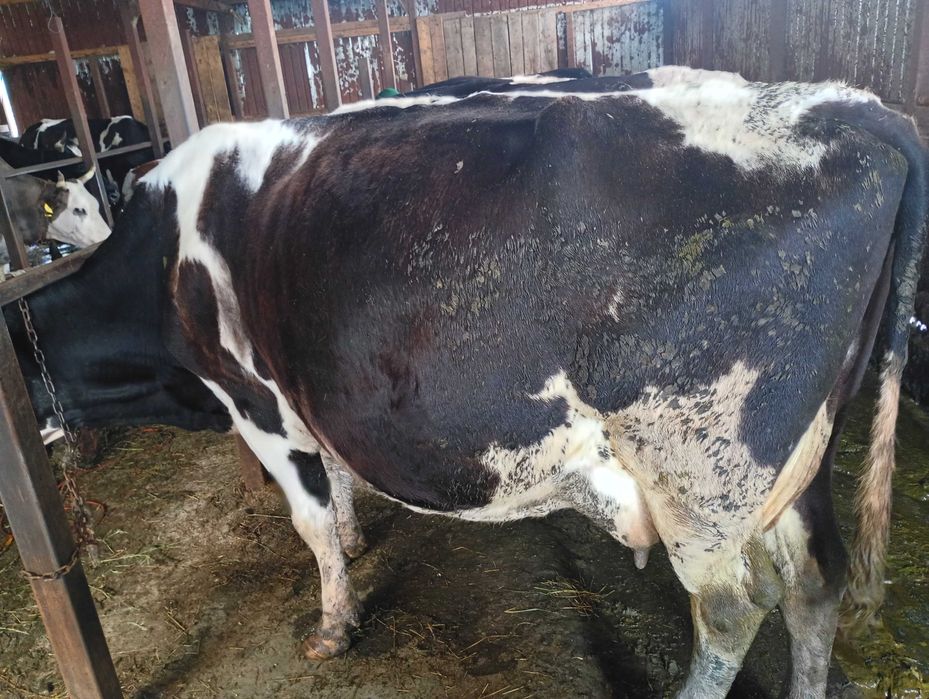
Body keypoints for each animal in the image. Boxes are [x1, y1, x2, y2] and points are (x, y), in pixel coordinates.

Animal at [3, 68, 927, 698]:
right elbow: (339, 485)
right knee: (815, 584)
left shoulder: (260, 404)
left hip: (701, 469)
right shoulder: (311, 396)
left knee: (734, 606)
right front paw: (356, 540)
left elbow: (309, 521)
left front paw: (332, 623)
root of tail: (849, 106)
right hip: (802, 458)